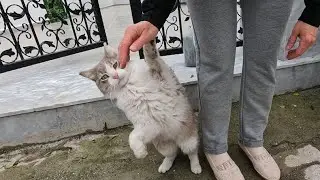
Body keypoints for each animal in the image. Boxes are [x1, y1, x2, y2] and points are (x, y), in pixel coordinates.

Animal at [79, 40, 201, 174]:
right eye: (104, 77)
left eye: (115, 64)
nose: (115, 75)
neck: (129, 86)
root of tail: (175, 140)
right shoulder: (146, 124)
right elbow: (132, 137)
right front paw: (140, 152)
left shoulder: (160, 72)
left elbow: (151, 56)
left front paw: (147, 42)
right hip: (164, 146)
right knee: (172, 154)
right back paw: (165, 165)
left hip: (188, 140)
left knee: (192, 153)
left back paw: (196, 167)